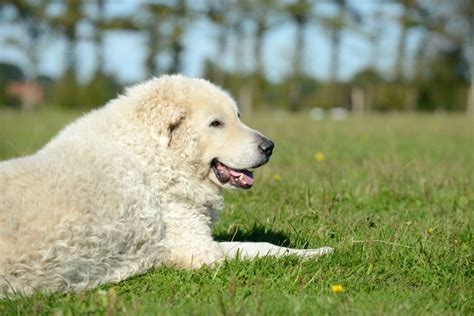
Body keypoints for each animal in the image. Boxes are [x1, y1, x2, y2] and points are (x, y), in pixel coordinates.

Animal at [0, 75, 334, 296]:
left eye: (238, 116)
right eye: (216, 123)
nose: (269, 146)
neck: (156, 154)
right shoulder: (199, 251)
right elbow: (263, 248)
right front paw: (317, 253)